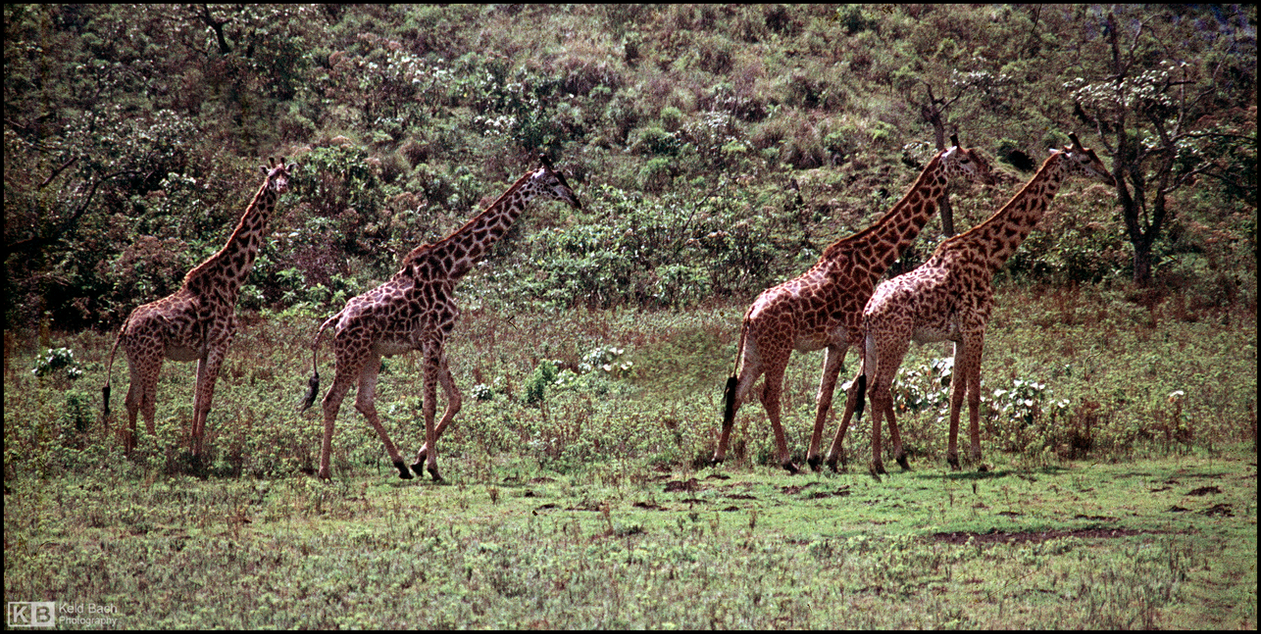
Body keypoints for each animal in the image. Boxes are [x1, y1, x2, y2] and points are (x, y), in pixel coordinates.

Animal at [103, 158, 297, 457]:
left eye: (288, 175)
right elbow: (206, 402)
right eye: (271, 177)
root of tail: (124, 328)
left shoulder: (203, 350)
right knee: (147, 401)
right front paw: (198, 454)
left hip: (136, 359)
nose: (283, 186)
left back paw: (134, 448)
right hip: (153, 357)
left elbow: (196, 401)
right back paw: (158, 449)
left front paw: (193, 445)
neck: (232, 281)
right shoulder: (220, 343)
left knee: (130, 400)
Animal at [299, 154, 581, 481]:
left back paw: (399, 465)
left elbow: (455, 399)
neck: (452, 271)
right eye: (553, 181)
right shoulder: (433, 337)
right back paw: (324, 471)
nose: (575, 199)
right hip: (351, 353)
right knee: (331, 399)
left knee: (363, 401)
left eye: (565, 177)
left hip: (372, 353)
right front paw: (434, 467)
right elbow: (429, 404)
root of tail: (336, 319)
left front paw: (419, 461)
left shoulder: (436, 340)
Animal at [713, 134, 996, 473]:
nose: (989, 174)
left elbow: (827, 395)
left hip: (754, 351)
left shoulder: (838, 342)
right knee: (768, 395)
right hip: (779, 349)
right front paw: (895, 456)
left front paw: (817, 457)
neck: (874, 259)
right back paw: (786, 461)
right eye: (965, 160)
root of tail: (749, 313)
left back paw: (718, 456)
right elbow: (874, 391)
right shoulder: (861, 335)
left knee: (737, 392)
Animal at [825, 133, 1115, 475]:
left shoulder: (960, 335)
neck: (990, 256)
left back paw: (840, 457)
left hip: (872, 344)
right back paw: (878, 462)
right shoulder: (978, 327)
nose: (1110, 177)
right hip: (895, 341)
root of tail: (869, 311)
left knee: (859, 389)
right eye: (1086, 159)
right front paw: (978, 457)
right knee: (878, 390)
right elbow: (976, 393)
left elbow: (956, 393)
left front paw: (953, 456)